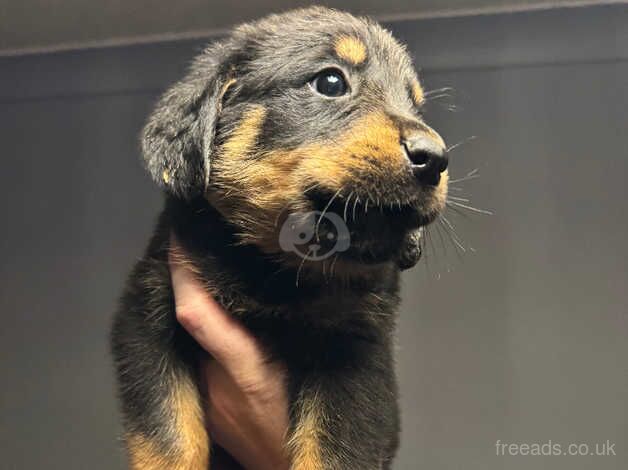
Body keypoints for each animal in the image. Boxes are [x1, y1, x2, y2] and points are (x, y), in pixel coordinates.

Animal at [111, 5, 446, 468]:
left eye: (414, 103)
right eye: (330, 82)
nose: (436, 159)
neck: (276, 272)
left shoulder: (356, 354)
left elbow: (333, 451)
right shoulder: (145, 319)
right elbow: (169, 436)